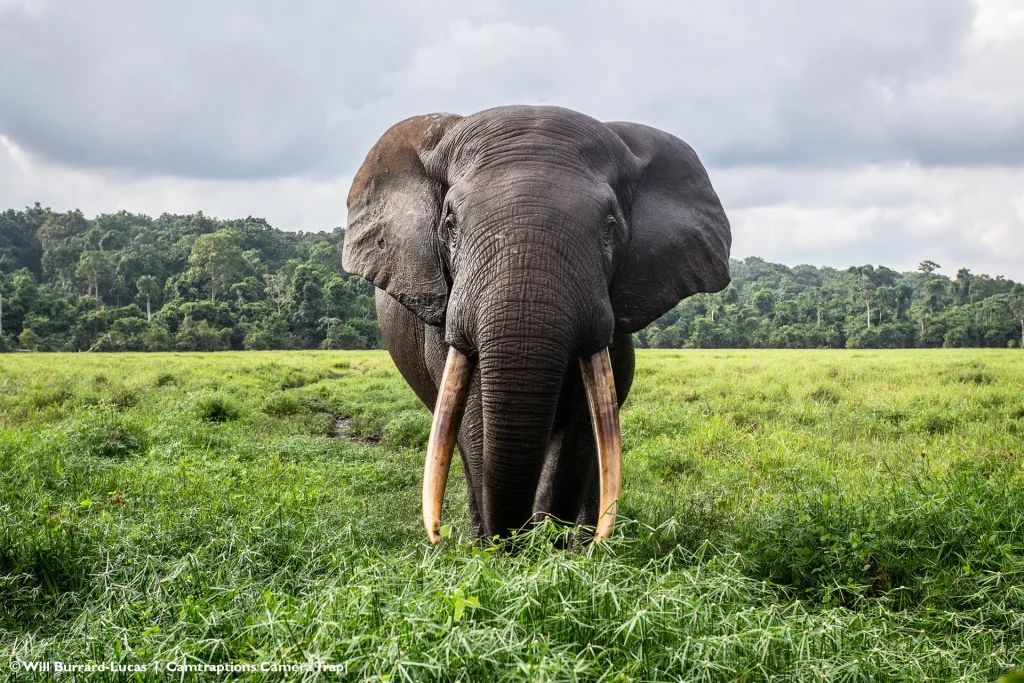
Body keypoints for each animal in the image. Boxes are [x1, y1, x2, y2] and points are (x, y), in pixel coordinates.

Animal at [342, 105, 731, 543]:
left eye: (610, 228)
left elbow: (585, 421)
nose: (518, 540)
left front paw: (554, 547)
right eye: (450, 224)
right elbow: (474, 415)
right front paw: (498, 550)